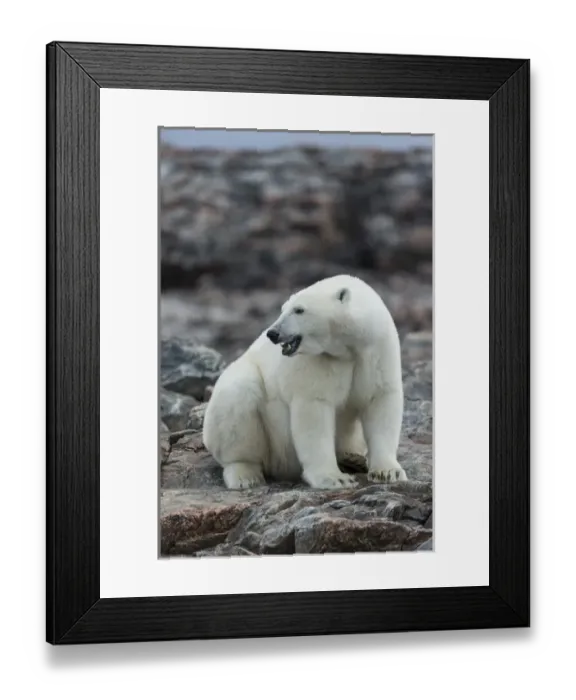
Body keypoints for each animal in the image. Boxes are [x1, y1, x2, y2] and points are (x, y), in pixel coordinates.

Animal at [202, 274, 407, 490]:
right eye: (283, 309)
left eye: (299, 310)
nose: (273, 333)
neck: (349, 347)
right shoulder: (319, 361)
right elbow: (315, 410)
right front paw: (335, 478)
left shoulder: (377, 350)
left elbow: (380, 401)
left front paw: (388, 472)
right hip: (266, 435)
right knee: (238, 397)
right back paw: (245, 475)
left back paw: (353, 457)